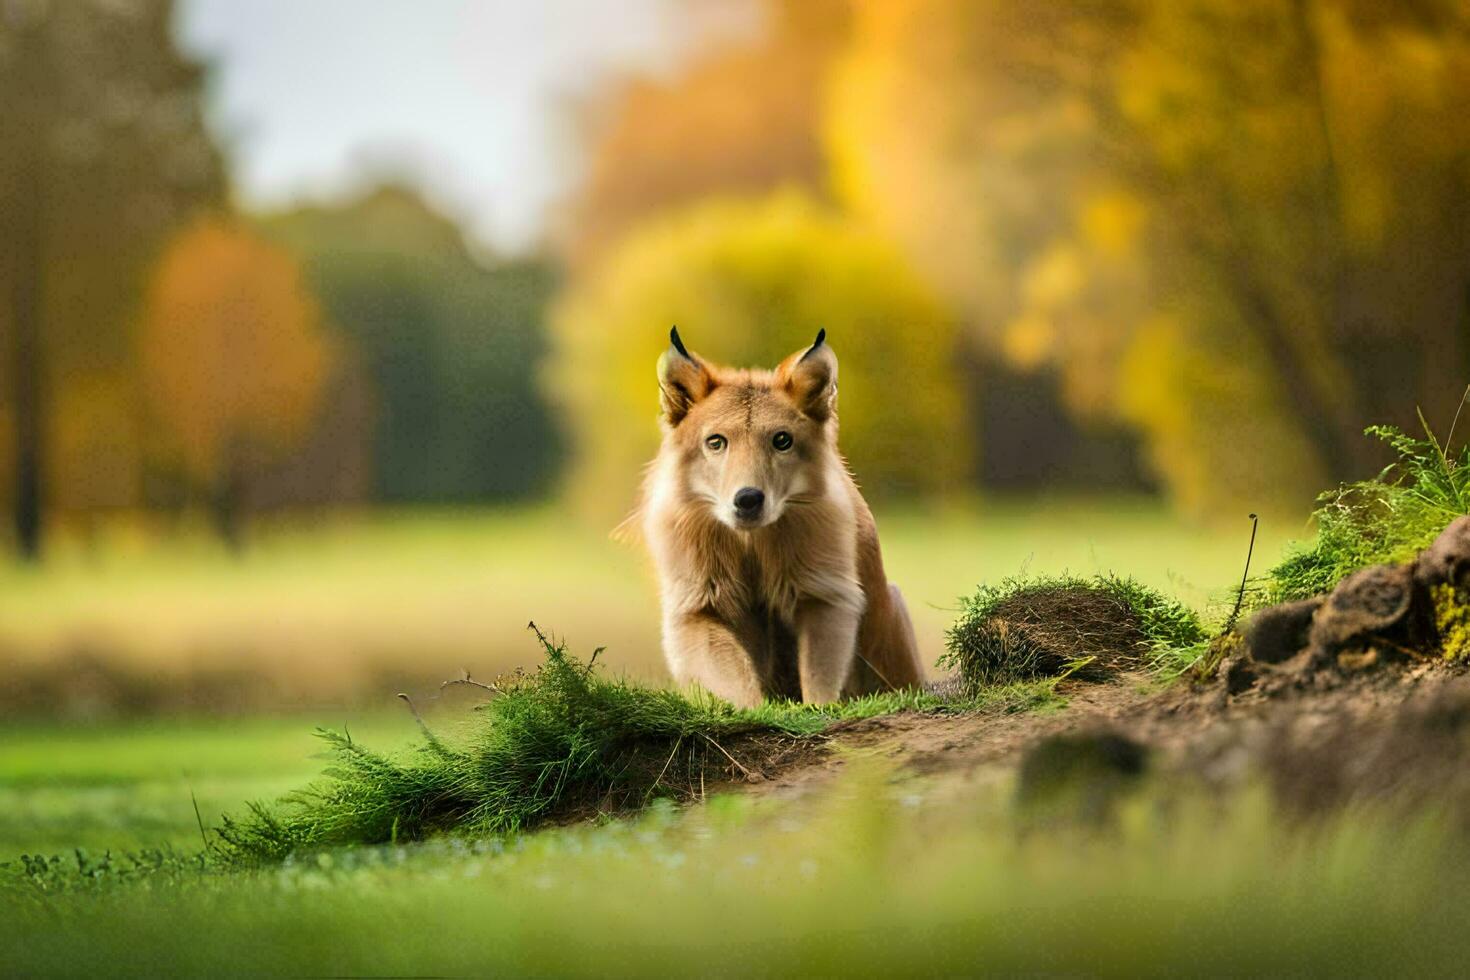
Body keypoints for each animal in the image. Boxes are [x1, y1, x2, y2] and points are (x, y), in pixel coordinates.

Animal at [632, 329, 917, 705]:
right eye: (716, 442)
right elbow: (736, 680)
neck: (752, 544)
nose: (748, 499)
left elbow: (819, 677)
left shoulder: (824, 592)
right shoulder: (698, 606)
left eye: (782, 440)